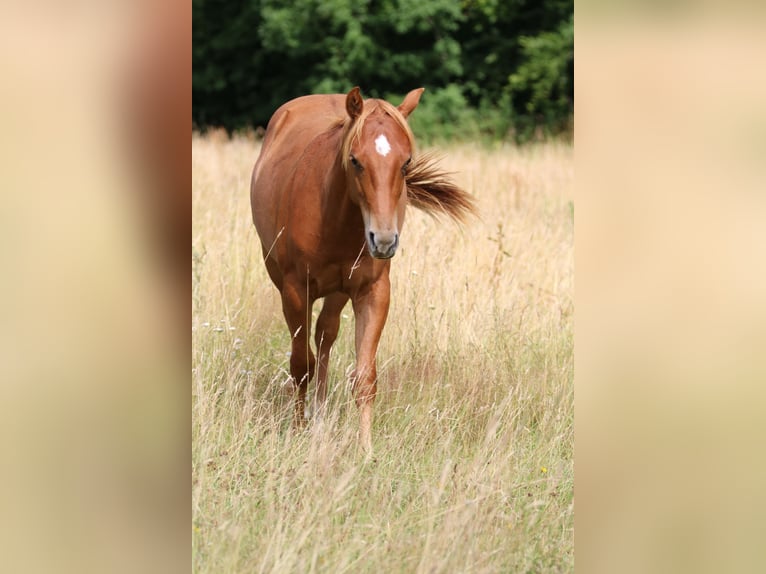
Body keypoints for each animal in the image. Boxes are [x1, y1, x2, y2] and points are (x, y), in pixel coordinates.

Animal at [250, 87, 475, 452]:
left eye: (406, 162)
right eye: (355, 160)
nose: (383, 241)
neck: (335, 219)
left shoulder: (373, 292)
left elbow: (365, 376)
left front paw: (366, 449)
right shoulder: (295, 292)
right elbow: (300, 364)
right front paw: (296, 431)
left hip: (339, 293)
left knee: (325, 334)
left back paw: (320, 411)